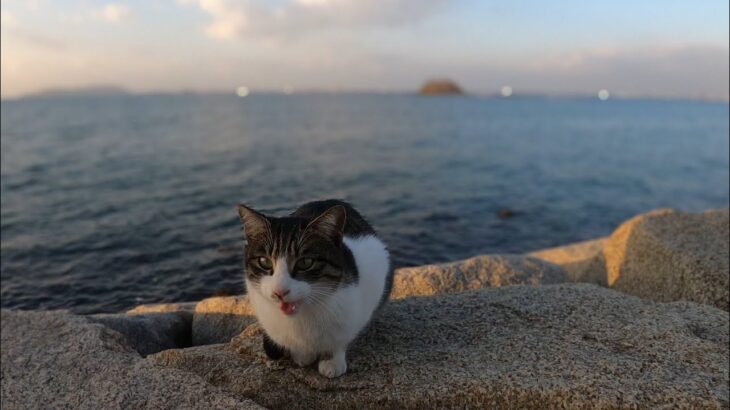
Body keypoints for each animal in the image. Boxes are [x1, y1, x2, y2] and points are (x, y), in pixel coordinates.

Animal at [236, 199, 390, 378]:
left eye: (305, 262)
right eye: (264, 261)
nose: (279, 291)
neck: (301, 317)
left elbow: (340, 340)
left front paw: (332, 361)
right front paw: (303, 355)